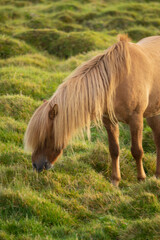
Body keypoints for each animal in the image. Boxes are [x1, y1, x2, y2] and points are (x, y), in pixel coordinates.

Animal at [24, 34, 160, 187]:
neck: (117, 81)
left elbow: (137, 151)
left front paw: (141, 179)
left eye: (46, 137)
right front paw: (115, 181)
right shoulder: (109, 120)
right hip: (153, 114)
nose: (36, 165)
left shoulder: (135, 119)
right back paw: (157, 175)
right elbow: (114, 150)